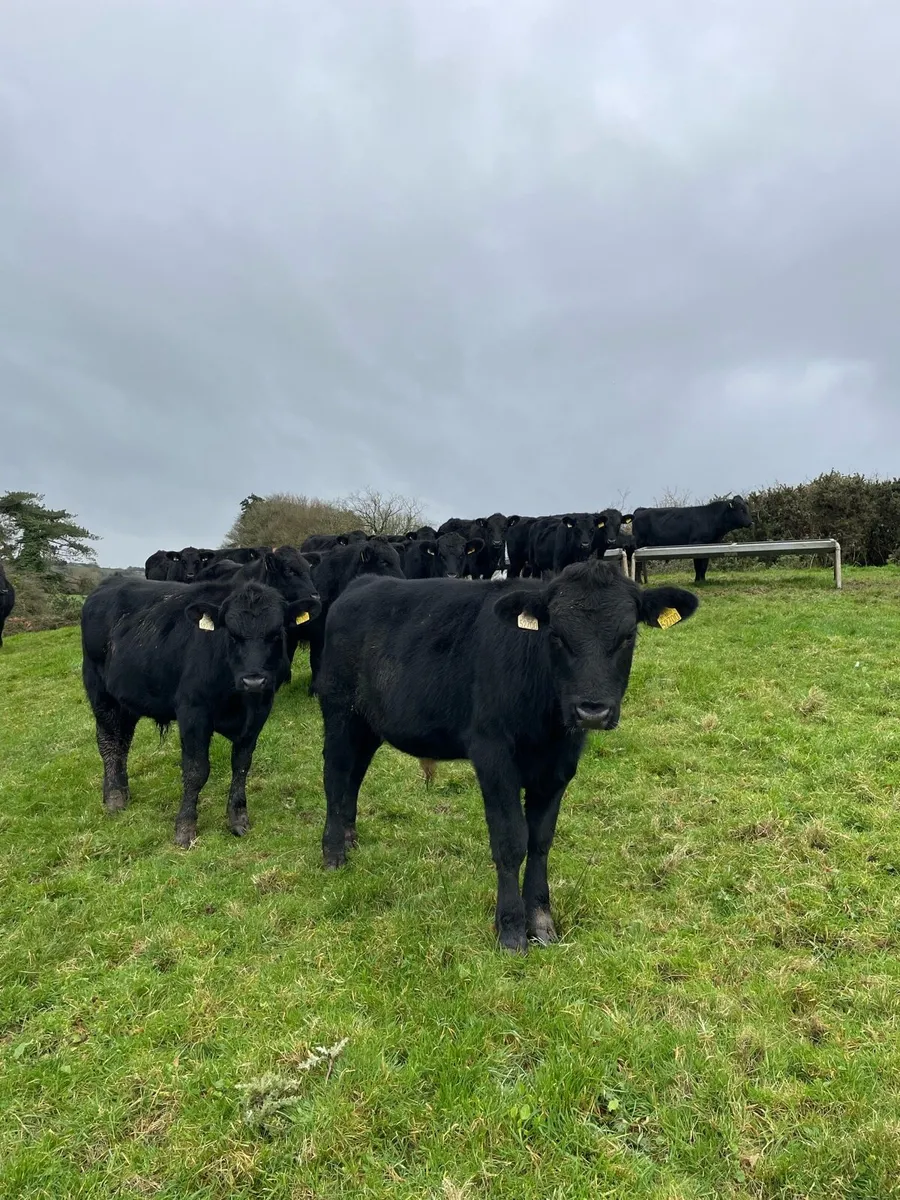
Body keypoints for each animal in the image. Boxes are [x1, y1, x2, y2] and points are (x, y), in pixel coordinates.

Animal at [81, 576, 321, 847]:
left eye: (276, 633)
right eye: (232, 634)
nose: (253, 681)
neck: (237, 697)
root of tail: (110, 582)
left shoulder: (259, 713)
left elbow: (241, 764)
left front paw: (238, 818)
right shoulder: (193, 712)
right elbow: (196, 770)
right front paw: (185, 827)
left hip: (126, 701)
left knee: (122, 743)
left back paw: (120, 791)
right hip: (100, 693)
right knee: (108, 743)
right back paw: (114, 797)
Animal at [315, 559, 699, 952]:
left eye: (628, 636)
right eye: (556, 635)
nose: (592, 710)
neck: (546, 724)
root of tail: (364, 582)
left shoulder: (559, 766)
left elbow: (540, 841)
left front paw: (541, 923)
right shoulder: (492, 755)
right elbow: (511, 840)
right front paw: (512, 930)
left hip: (368, 725)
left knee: (354, 777)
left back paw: (350, 839)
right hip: (339, 711)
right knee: (335, 775)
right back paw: (334, 852)